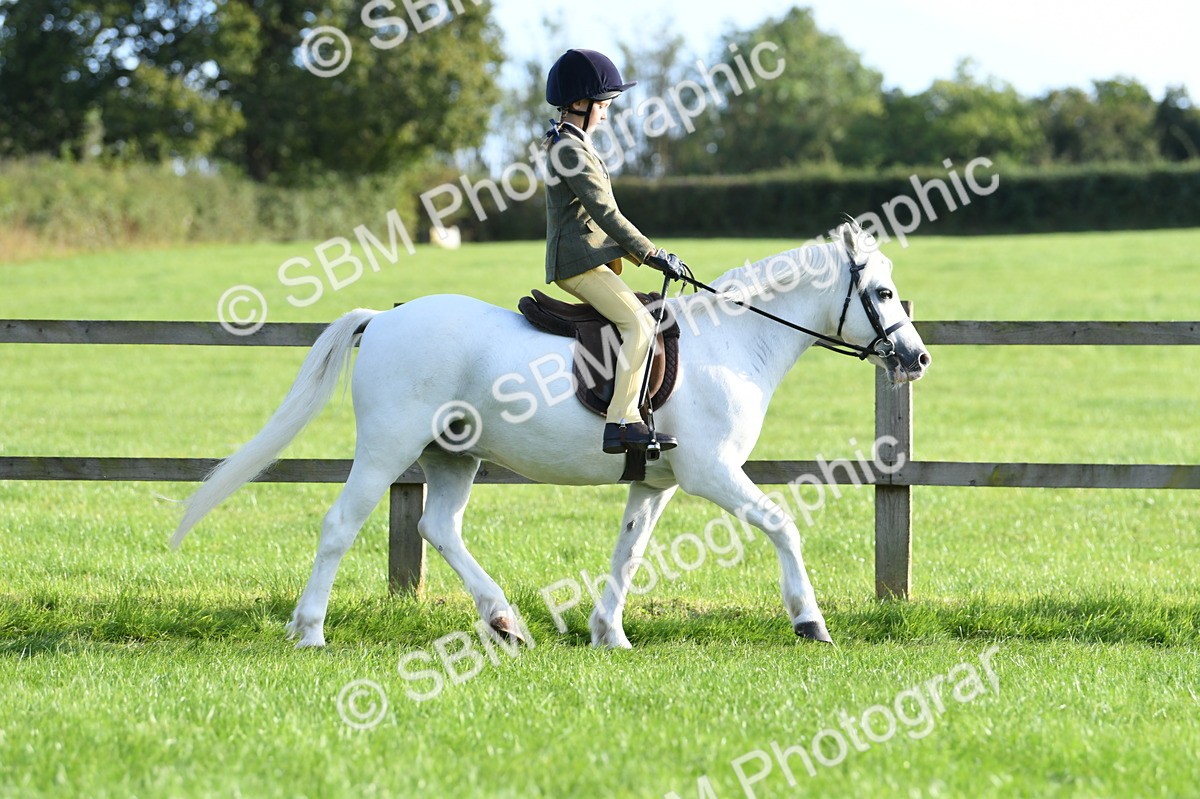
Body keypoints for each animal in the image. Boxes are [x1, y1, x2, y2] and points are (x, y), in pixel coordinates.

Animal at [172, 222, 931, 648]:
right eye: (883, 294)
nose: (917, 357)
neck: (734, 340)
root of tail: (384, 318)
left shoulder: (656, 483)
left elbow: (629, 552)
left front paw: (609, 634)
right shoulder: (711, 472)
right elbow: (782, 524)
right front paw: (810, 621)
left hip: (452, 455)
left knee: (438, 528)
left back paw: (506, 622)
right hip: (388, 449)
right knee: (340, 525)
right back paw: (309, 631)